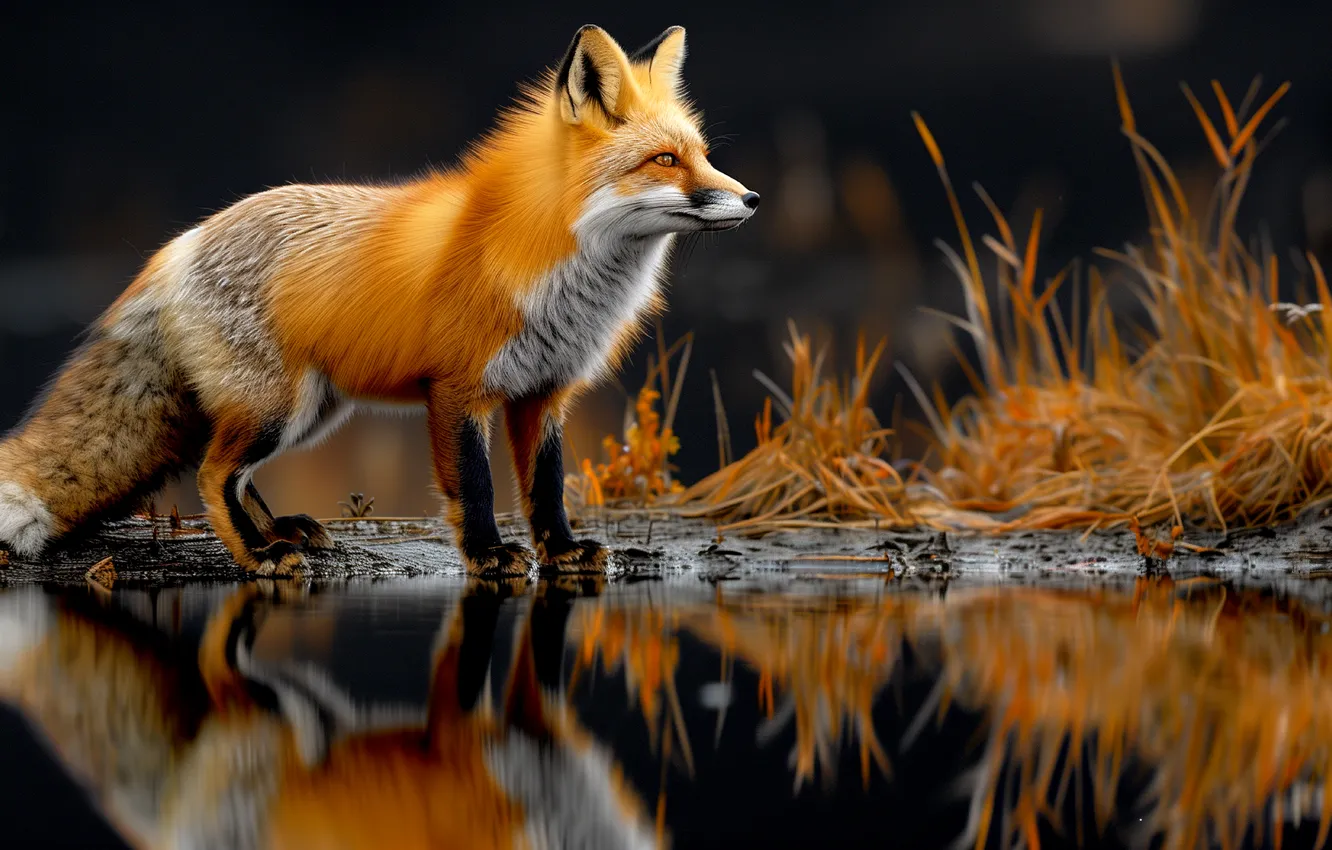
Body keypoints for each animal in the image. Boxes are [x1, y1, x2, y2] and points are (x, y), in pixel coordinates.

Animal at [0, 24, 758, 576]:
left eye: (702, 154)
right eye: (665, 160)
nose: (751, 199)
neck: (553, 261)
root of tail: (182, 243)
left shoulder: (544, 392)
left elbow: (546, 487)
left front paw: (562, 550)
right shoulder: (457, 390)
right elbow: (476, 487)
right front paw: (487, 554)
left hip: (312, 410)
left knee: (237, 475)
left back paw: (281, 531)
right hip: (279, 407)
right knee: (215, 474)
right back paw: (260, 554)